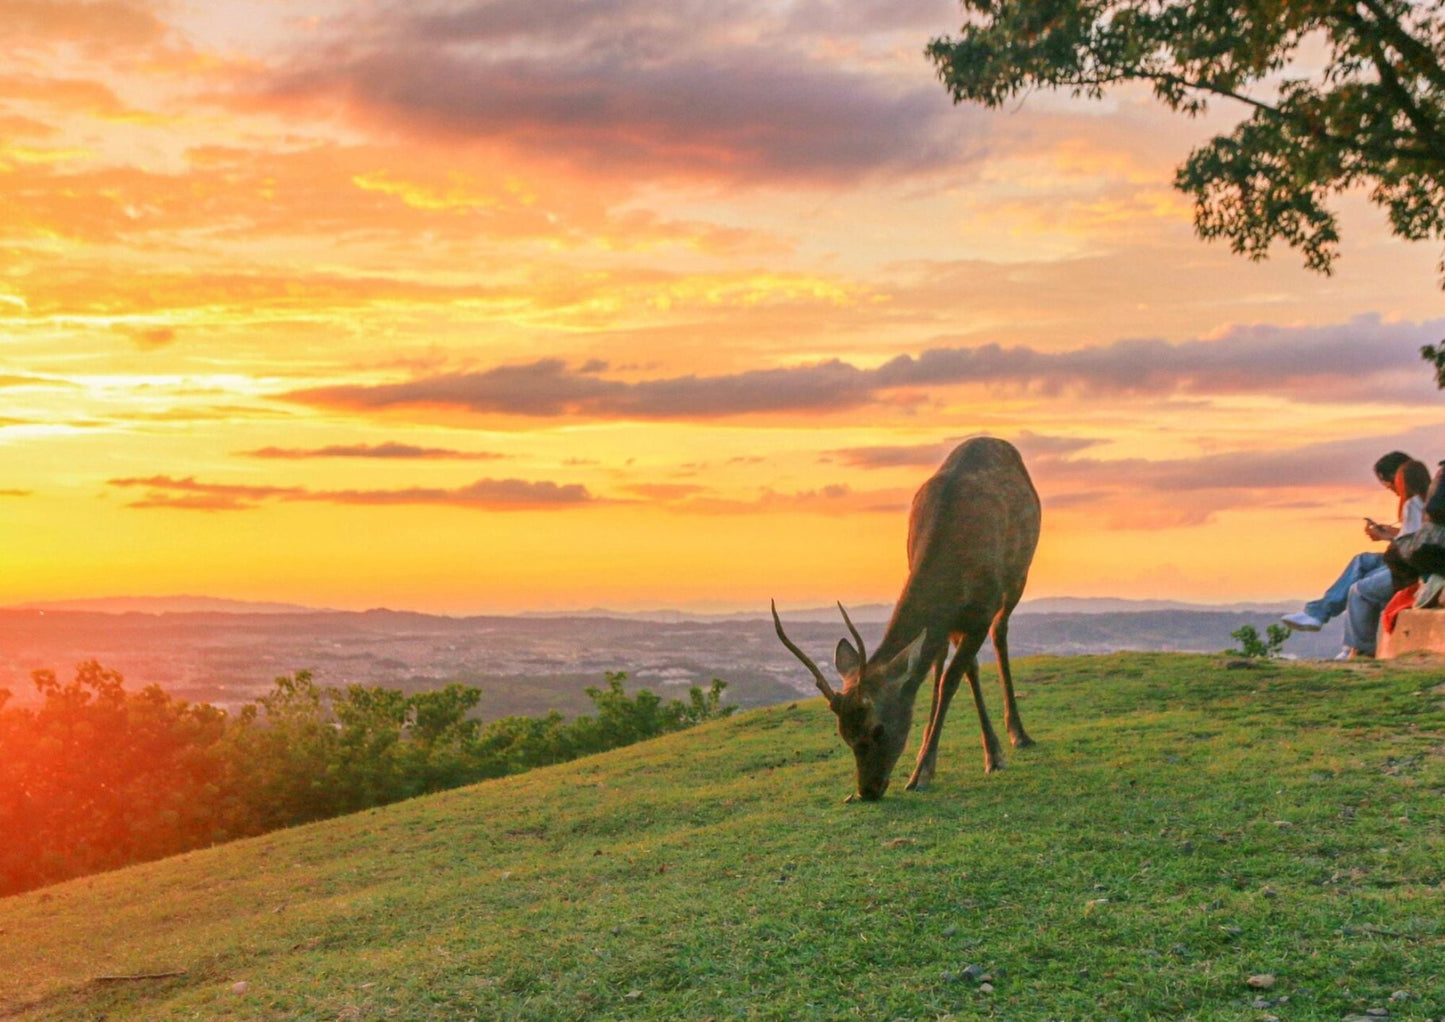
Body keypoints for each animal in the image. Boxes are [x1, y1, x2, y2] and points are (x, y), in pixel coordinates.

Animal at [780, 436, 1040, 803]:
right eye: (843, 734)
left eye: (877, 728)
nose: (867, 791)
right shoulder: (950, 618)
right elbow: (956, 671)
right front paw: (935, 761)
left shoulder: (982, 609)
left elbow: (951, 680)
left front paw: (924, 774)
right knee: (943, 660)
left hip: (1018, 576)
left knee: (999, 635)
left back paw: (1018, 734)